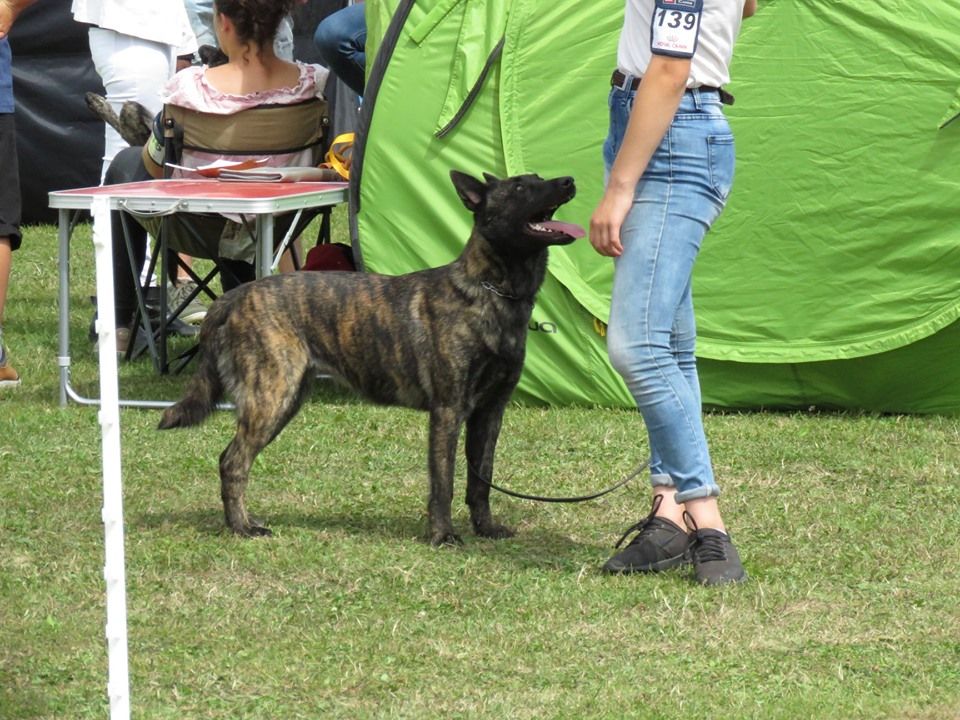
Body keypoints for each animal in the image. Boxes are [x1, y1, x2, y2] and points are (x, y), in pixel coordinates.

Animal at [158, 172, 584, 544]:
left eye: (538, 178)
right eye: (519, 188)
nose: (568, 181)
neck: (488, 291)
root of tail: (235, 295)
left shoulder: (489, 413)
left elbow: (480, 480)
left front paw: (486, 529)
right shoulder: (448, 411)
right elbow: (443, 483)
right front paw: (442, 535)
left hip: (286, 400)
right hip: (270, 399)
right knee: (232, 462)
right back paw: (242, 527)